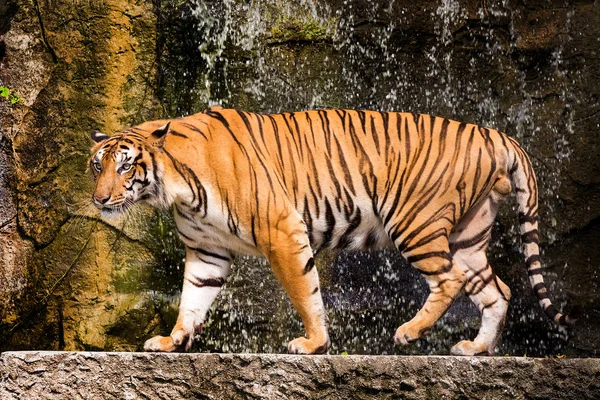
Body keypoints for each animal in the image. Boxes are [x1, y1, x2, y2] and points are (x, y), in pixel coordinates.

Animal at [90, 107, 580, 356]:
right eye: (98, 166)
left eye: (126, 166)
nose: (99, 199)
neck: (174, 186)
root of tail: (495, 133)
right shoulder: (207, 250)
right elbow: (193, 299)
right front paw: (171, 340)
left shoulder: (282, 231)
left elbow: (305, 293)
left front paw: (313, 343)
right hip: (467, 236)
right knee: (498, 290)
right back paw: (476, 349)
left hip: (416, 222)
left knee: (452, 279)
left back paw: (409, 332)